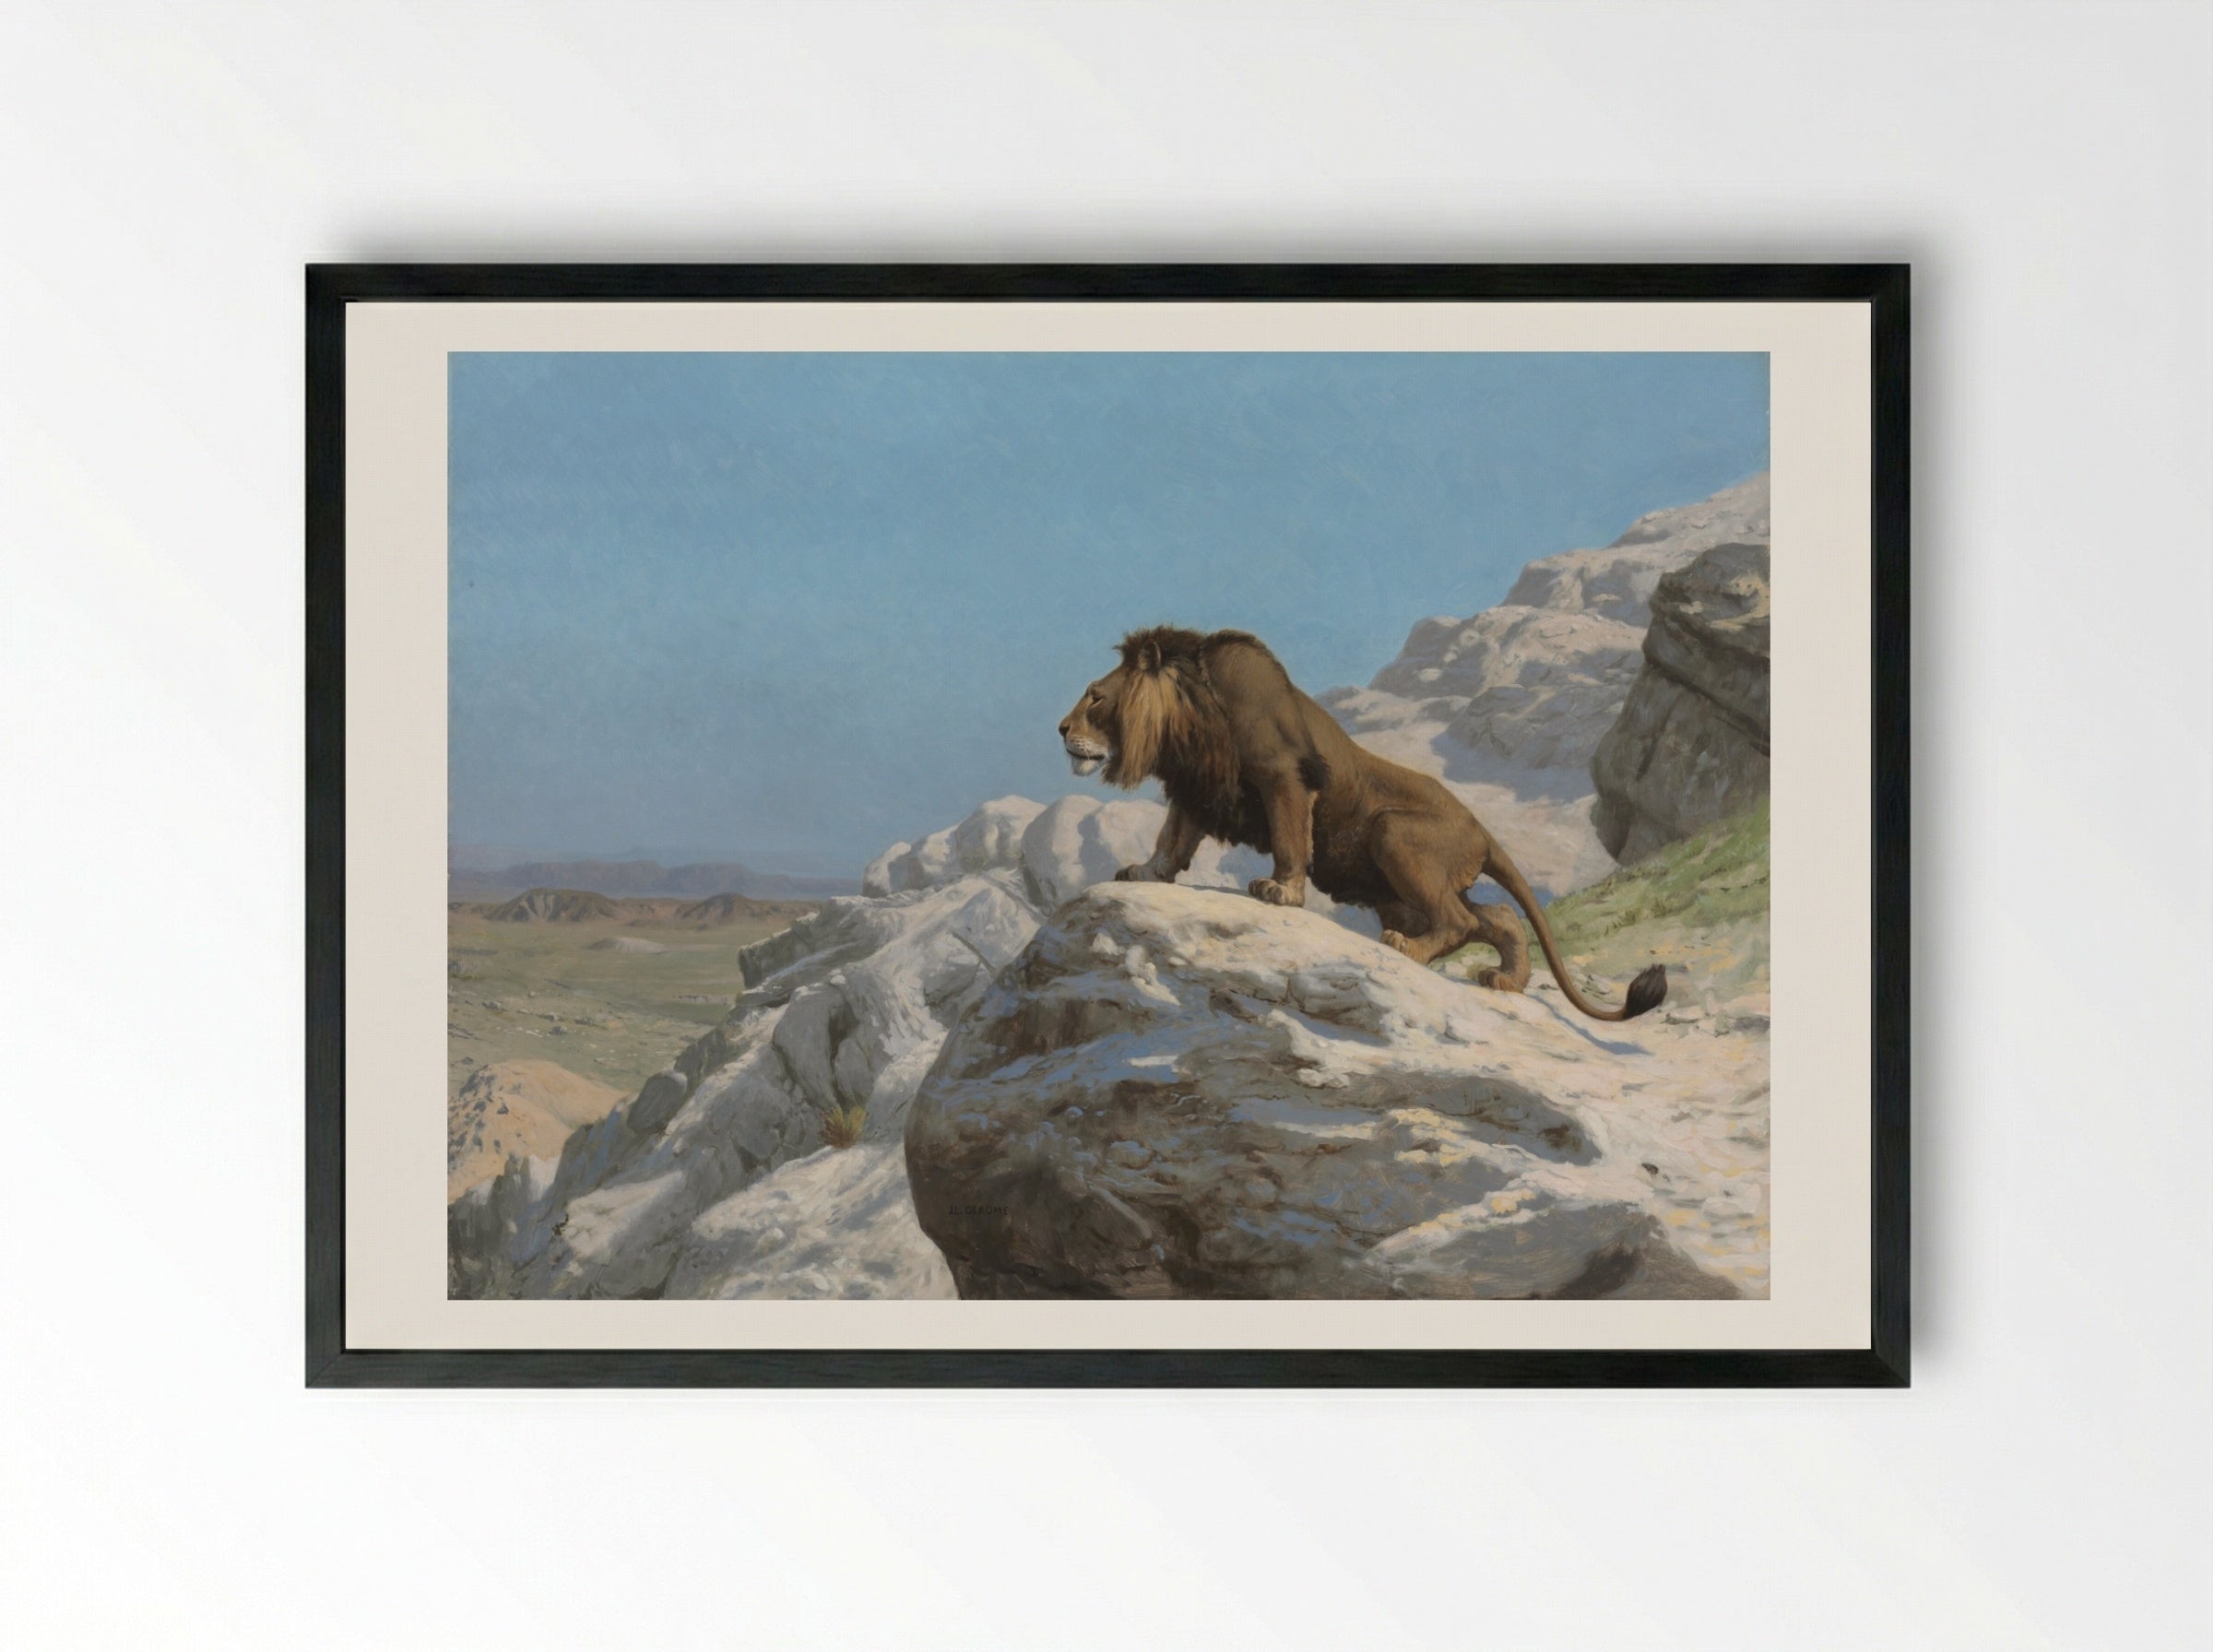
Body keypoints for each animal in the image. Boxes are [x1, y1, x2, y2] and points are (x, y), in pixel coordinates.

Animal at [1058, 625, 1666, 1023]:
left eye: (1095, 697)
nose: (1061, 729)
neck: (1190, 718)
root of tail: (1483, 830)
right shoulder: (1197, 787)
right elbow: (1172, 839)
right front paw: (1143, 873)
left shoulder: (1282, 776)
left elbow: (1289, 837)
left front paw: (1281, 891)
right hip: (1401, 889)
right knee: (1496, 917)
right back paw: (1505, 981)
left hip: (1391, 834)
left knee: (1459, 920)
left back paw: (1407, 950)